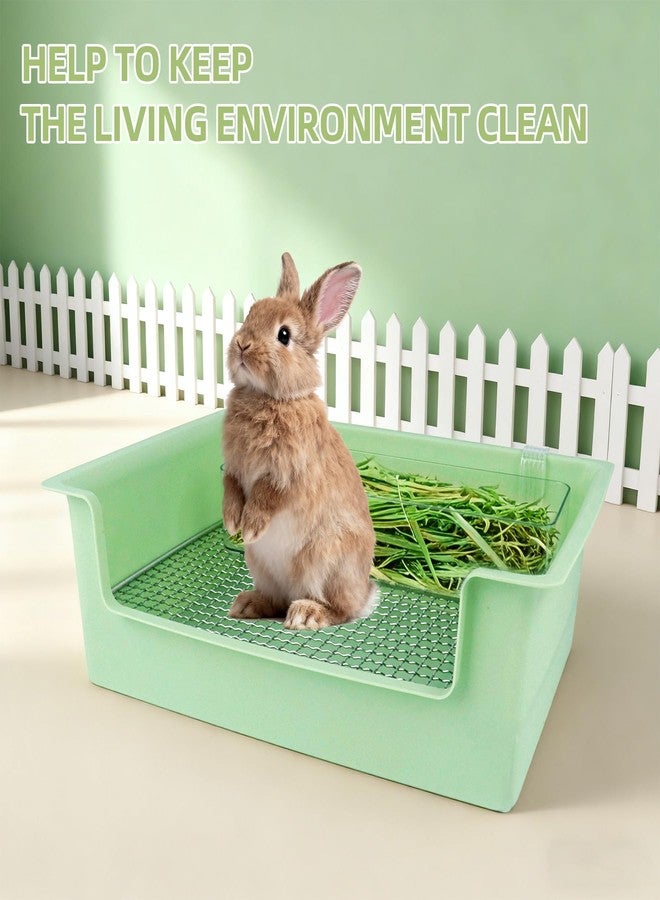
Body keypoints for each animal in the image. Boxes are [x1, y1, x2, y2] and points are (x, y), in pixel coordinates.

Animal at [222, 252, 376, 630]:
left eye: (284, 335)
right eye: (249, 315)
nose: (242, 344)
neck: (269, 398)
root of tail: (366, 594)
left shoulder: (288, 474)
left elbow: (267, 496)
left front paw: (250, 527)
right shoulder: (232, 468)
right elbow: (231, 488)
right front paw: (232, 522)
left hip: (324, 560)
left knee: (340, 611)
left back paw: (306, 614)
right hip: (263, 568)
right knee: (276, 601)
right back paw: (245, 604)